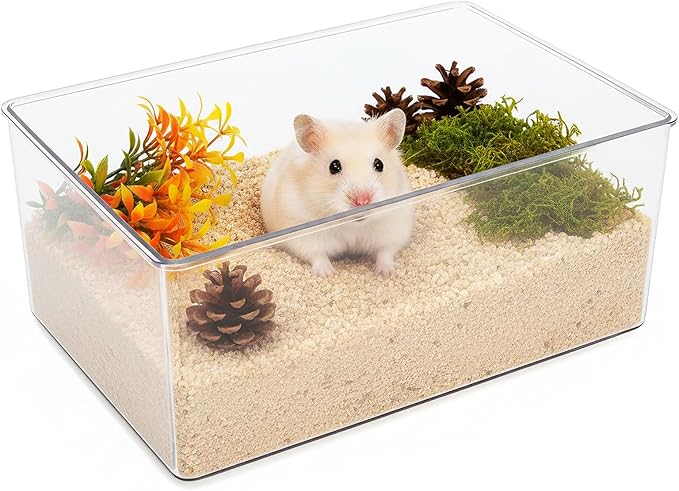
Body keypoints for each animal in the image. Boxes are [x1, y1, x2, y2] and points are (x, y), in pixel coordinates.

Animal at [261, 108, 414, 277]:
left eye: (379, 164)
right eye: (334, 166)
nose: (362, 201)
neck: (353, 226)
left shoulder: (393, 226)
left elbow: (385, 251)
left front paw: (389, 272)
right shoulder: (304, 231)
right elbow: (317, 254)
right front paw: (327, 274)